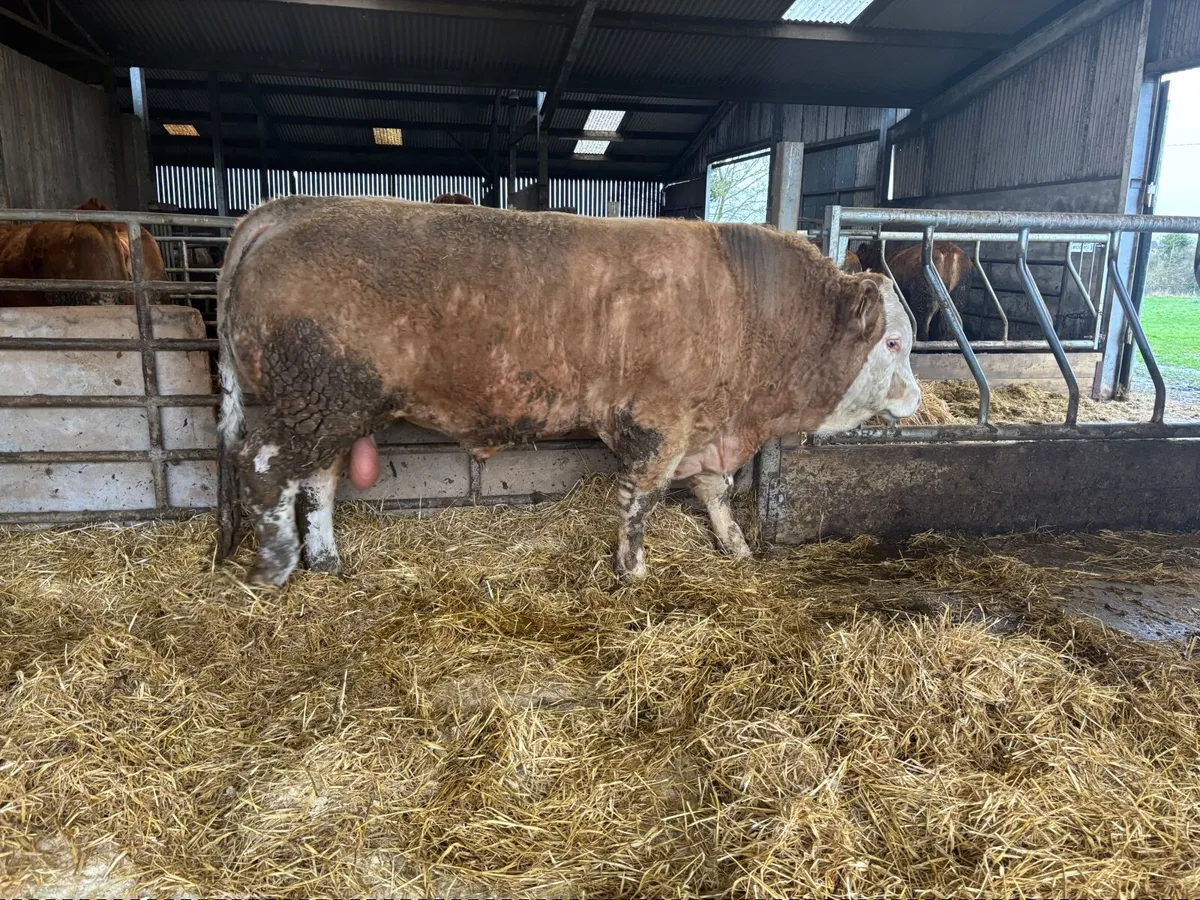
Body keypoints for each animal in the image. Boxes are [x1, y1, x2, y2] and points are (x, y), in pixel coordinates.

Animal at [215, 196, 920, 588]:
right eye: (893, 342)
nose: (916, 401)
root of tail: (295, 209)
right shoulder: (658, 423)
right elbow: (640, 501)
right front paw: (632, 572)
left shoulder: (704, 429)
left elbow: (714, 491)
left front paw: (737, 549)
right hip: (313, 397)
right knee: (263, 472)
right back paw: (273, 569)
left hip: (330, 408)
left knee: (317, 480)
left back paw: (326, 560)